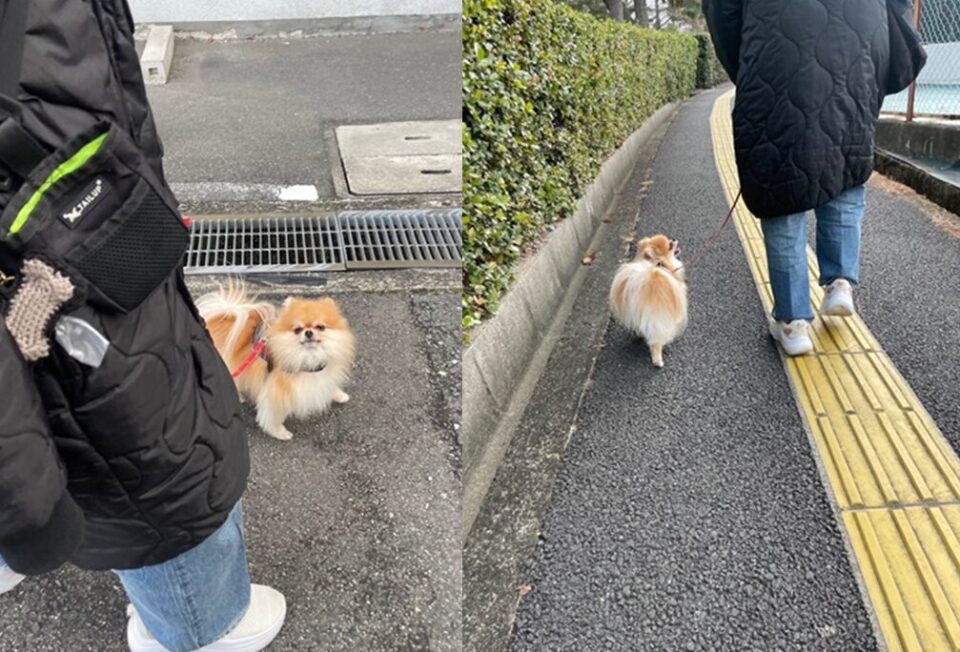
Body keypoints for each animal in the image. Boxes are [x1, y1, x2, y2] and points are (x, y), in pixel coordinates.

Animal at [195, 282, 356, 440]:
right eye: (297, 329)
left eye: (320, 327)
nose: (308, 332)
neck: (307, 357)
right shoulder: (276, 390)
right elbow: (274, 415)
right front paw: (280, 432)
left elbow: (329, 384)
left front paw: (339, 395)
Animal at [612, 233, 688, 366]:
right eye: (670, 245)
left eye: (670, 240)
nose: (673, 239)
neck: (660, 264)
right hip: (658, 320)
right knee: (656, 343)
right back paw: (658, 361)